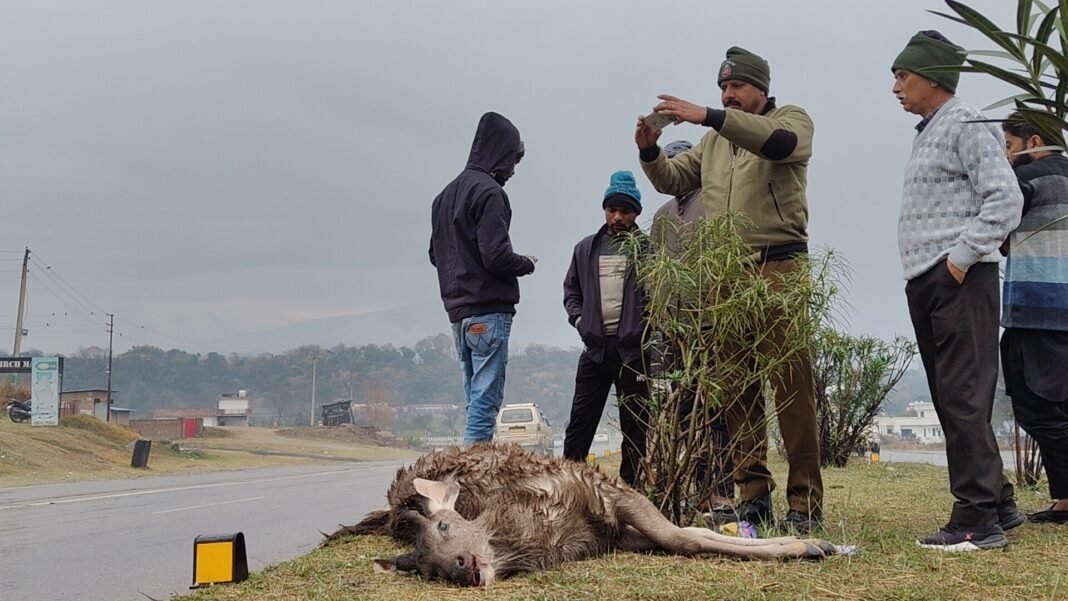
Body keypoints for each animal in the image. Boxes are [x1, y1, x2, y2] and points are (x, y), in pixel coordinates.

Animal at [324, 443, 847, 587]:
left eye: (445, 524)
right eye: (426, 569)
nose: (460, 567)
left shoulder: (608, 491)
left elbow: (684, 535)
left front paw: (811, 544)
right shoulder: (618, 533)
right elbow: (687, 535)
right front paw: (809, 545)